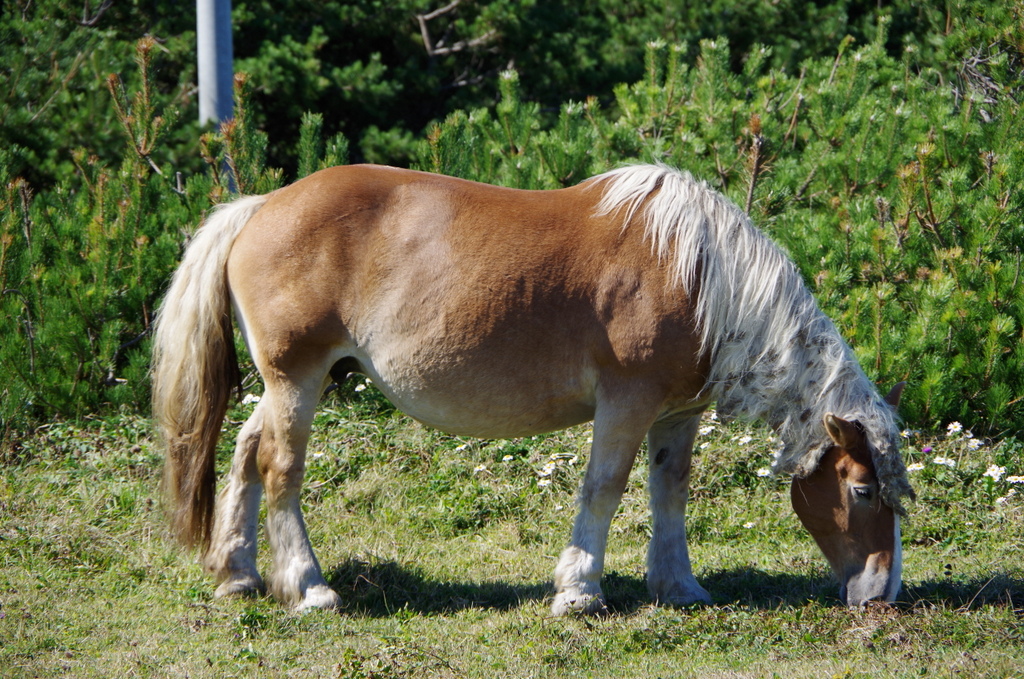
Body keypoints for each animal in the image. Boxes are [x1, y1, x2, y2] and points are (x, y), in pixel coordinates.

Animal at [151, 161, 913, 614]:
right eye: (861, 490)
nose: (882, 592)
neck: (700, 275)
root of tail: (258, 207)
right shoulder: (626, 402)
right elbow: (604, 488)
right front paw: (579, 590)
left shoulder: (677, 414)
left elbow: (669, 491)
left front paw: (679, 585)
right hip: (298, 379)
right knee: (281, 468)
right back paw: (307, 586)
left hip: (290, 386)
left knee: (248, 454)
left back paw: (239, 573)